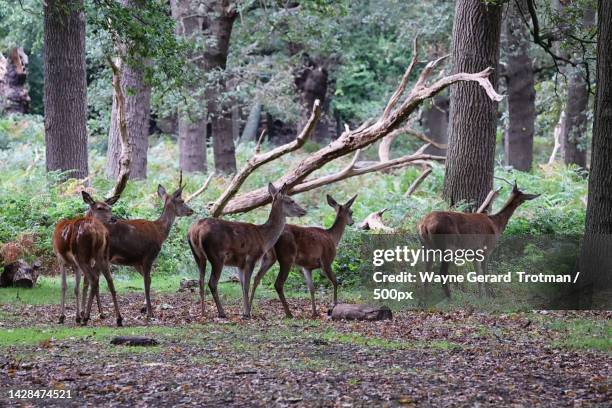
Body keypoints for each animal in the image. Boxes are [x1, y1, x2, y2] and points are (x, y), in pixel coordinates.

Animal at [53, 190, 123, 326]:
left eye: (110, 208)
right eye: (100, 207)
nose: (113, 218)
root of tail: (98, 231)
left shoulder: (61, 259)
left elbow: (65, 286)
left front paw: (63, 316)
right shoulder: (81, 263)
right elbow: (81, 286)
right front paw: (82, 313)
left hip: (81, 255)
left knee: (94, 279)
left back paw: (85, 318)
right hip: (102, 256)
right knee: (109, 281)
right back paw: (118, 319)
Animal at [87, 178, 192, 318]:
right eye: (182, 201)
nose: (191, 210)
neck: (159, 231)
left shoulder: (136, 261)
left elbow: (148, 280)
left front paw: (145, 308)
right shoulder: (149, 255)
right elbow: (147, 282)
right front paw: (150, 312)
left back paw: (98, 313)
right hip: (104, 254)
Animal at [188, 183, 306, 320]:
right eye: (291, 201)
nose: (304, 211)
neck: (263, 237)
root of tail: (195, 231)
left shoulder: (240, 263)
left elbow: (242, 285)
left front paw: (244, 312)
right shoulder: (251, 257)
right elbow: (246, 285)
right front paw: (247, 313)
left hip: (198, 255)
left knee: (200, 281)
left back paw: (203, 312)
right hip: (217, 256)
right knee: (212, 282)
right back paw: (222, 313)